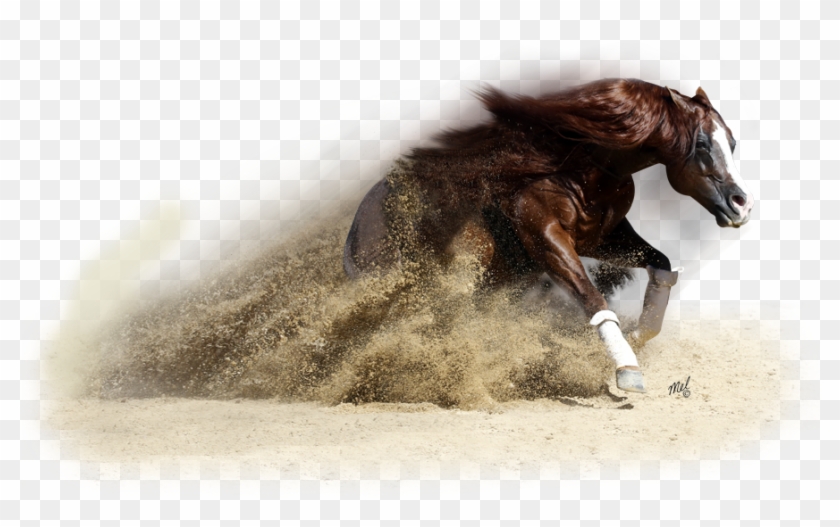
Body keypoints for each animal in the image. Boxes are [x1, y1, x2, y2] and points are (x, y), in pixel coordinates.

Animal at [343, 78, 753, 393]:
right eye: (702, 144)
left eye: (732, 142)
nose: (741, 204)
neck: (579, 168)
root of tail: (355, 228)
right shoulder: (546, 237)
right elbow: (592, 298)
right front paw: (627, 369)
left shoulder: (602, 238)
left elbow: (661, 266)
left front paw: (638, 335)